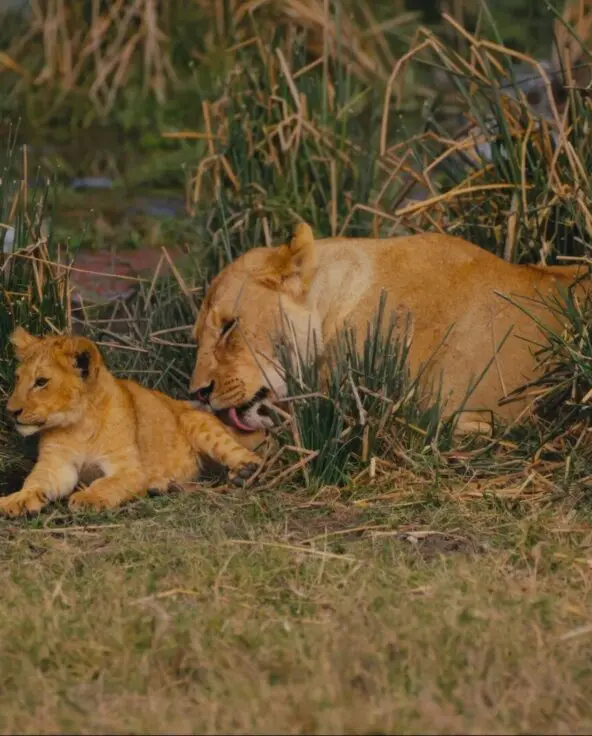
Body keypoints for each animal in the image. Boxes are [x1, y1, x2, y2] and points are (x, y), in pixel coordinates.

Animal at [0, 328, 264, 517]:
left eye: (41, 382)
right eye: (18, 378)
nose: (10, 411)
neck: (79, 426)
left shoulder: (130, 469)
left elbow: (107, 484)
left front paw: (87, 498)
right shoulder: (56, 466)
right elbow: (34, 483)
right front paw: (16, 500)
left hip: (200, 424)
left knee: (245, 454)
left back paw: (246, 471)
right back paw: (162, 486)